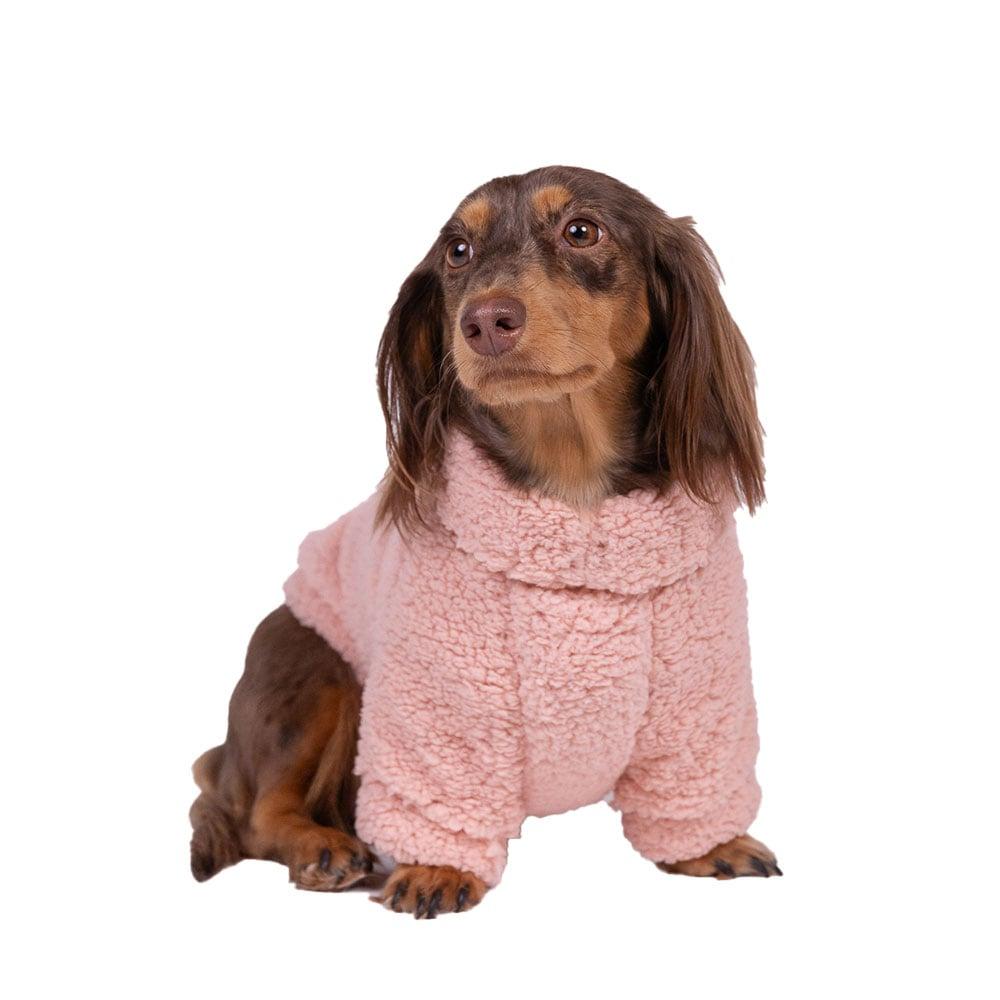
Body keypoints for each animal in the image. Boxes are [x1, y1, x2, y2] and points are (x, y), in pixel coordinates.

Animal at [189, 165, 780, 918]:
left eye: (582, 230)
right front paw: (436, 869)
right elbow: (437, 798)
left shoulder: (698, 702)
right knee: (258, 813)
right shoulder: (440, 711)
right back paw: (323, 848)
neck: (573, 493)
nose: (485, 322)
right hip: (317, 665)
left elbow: (692, 788)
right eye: (458, 252)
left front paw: (713, 845)